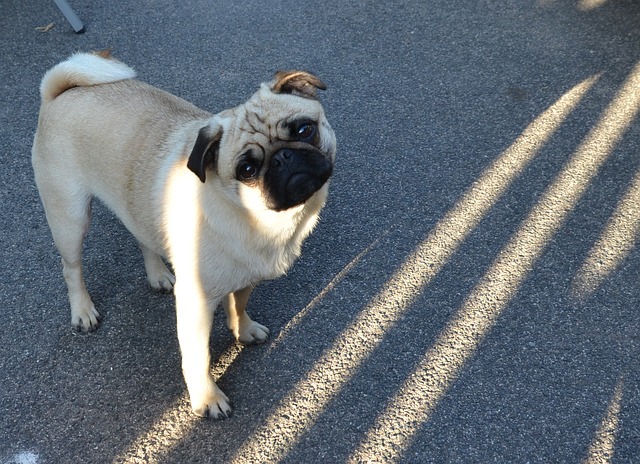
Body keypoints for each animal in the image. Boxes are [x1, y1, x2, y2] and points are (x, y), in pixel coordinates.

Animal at [31, 52, 336, 418]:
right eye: (247, 170)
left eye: (305, 129)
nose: (284, 156)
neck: (260, 219)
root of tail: (60, 93)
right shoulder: (196, 303)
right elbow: (197, 356)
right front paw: (206, 398)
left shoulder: (247, 276)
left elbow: (239, 305)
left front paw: (244, 330)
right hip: (70, 217)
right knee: (72, 267)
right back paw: (83, 310)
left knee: (142, 237)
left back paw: (158, 274)